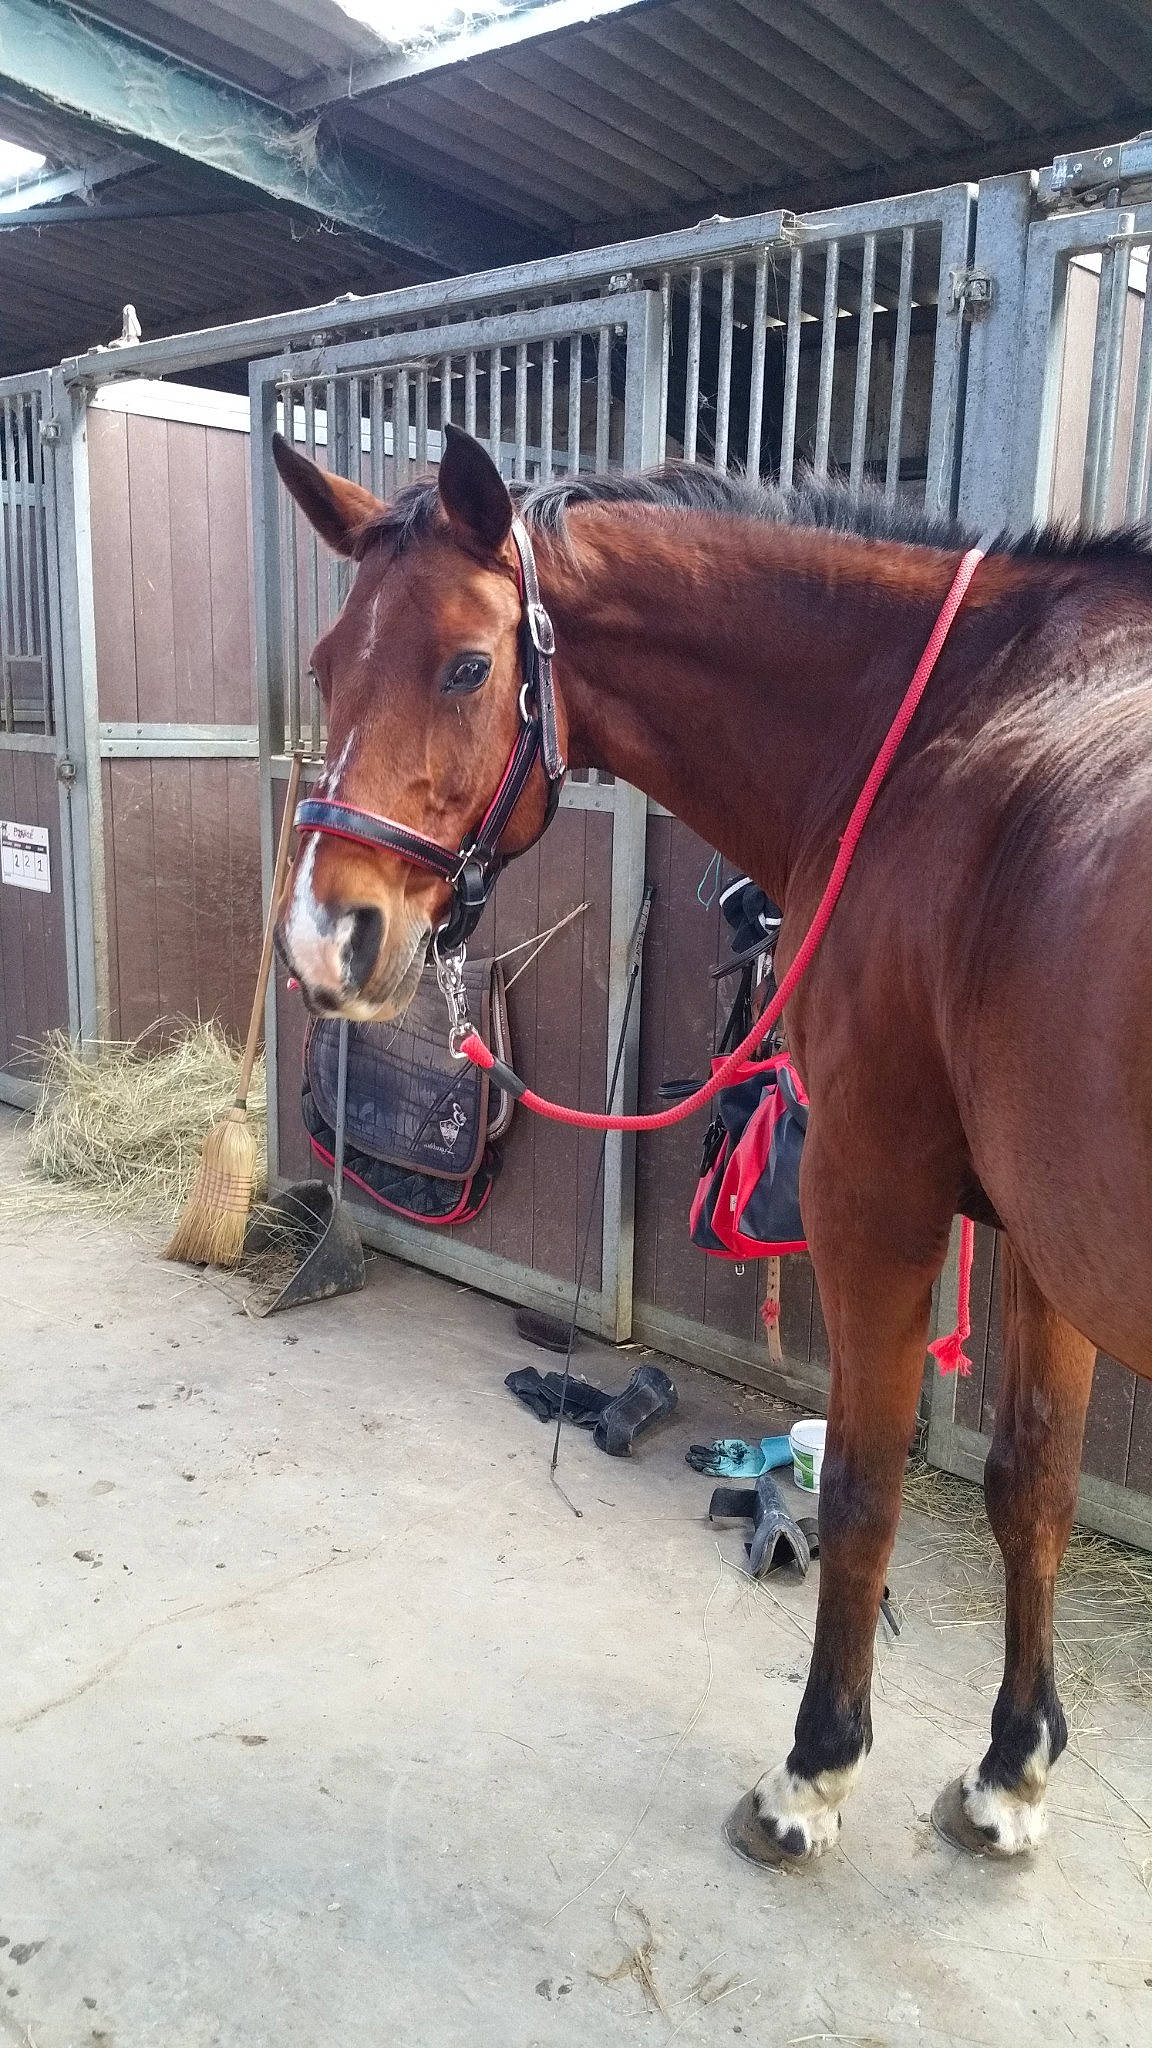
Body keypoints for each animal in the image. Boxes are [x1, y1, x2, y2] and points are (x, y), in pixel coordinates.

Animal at [270, 421, 1152, 1869]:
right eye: (326, 664)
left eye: (467, 665)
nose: (320, 943)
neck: (950, 729)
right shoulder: (1038, 1234)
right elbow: (1032, 1485)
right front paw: (1012, 1770)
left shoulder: (876, 1192)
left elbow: (860, 1491)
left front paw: (815, 1772)